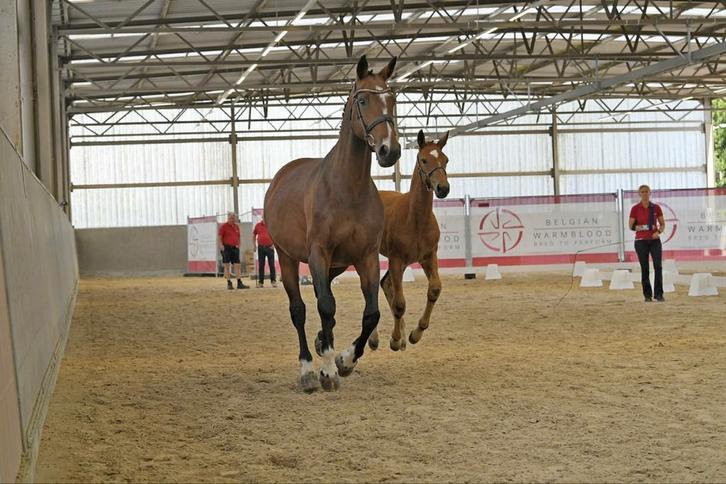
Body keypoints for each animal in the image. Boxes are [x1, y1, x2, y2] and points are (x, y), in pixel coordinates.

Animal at [263, 55, 400, 392]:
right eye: (362, 100)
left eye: (392, 99)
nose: (389, 151)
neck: (348, 189)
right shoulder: (318, 253)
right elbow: (324, 306)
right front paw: (327, 370)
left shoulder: (365, 257)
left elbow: (371, 314)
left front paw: (345, 360)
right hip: (288, 258)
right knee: (299, 310)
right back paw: (307, 370)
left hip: (336, 265)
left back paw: (322, 343)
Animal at [370, 129, 450, 352]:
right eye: (424, 160)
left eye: (445, 160)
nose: (443, 188)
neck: (416, 219)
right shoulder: (396, 260)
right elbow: (400, 304)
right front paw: (395, 339)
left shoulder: (428, 257)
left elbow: (434, 290)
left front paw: (415, 333)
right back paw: (374, 338)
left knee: (386, 283)